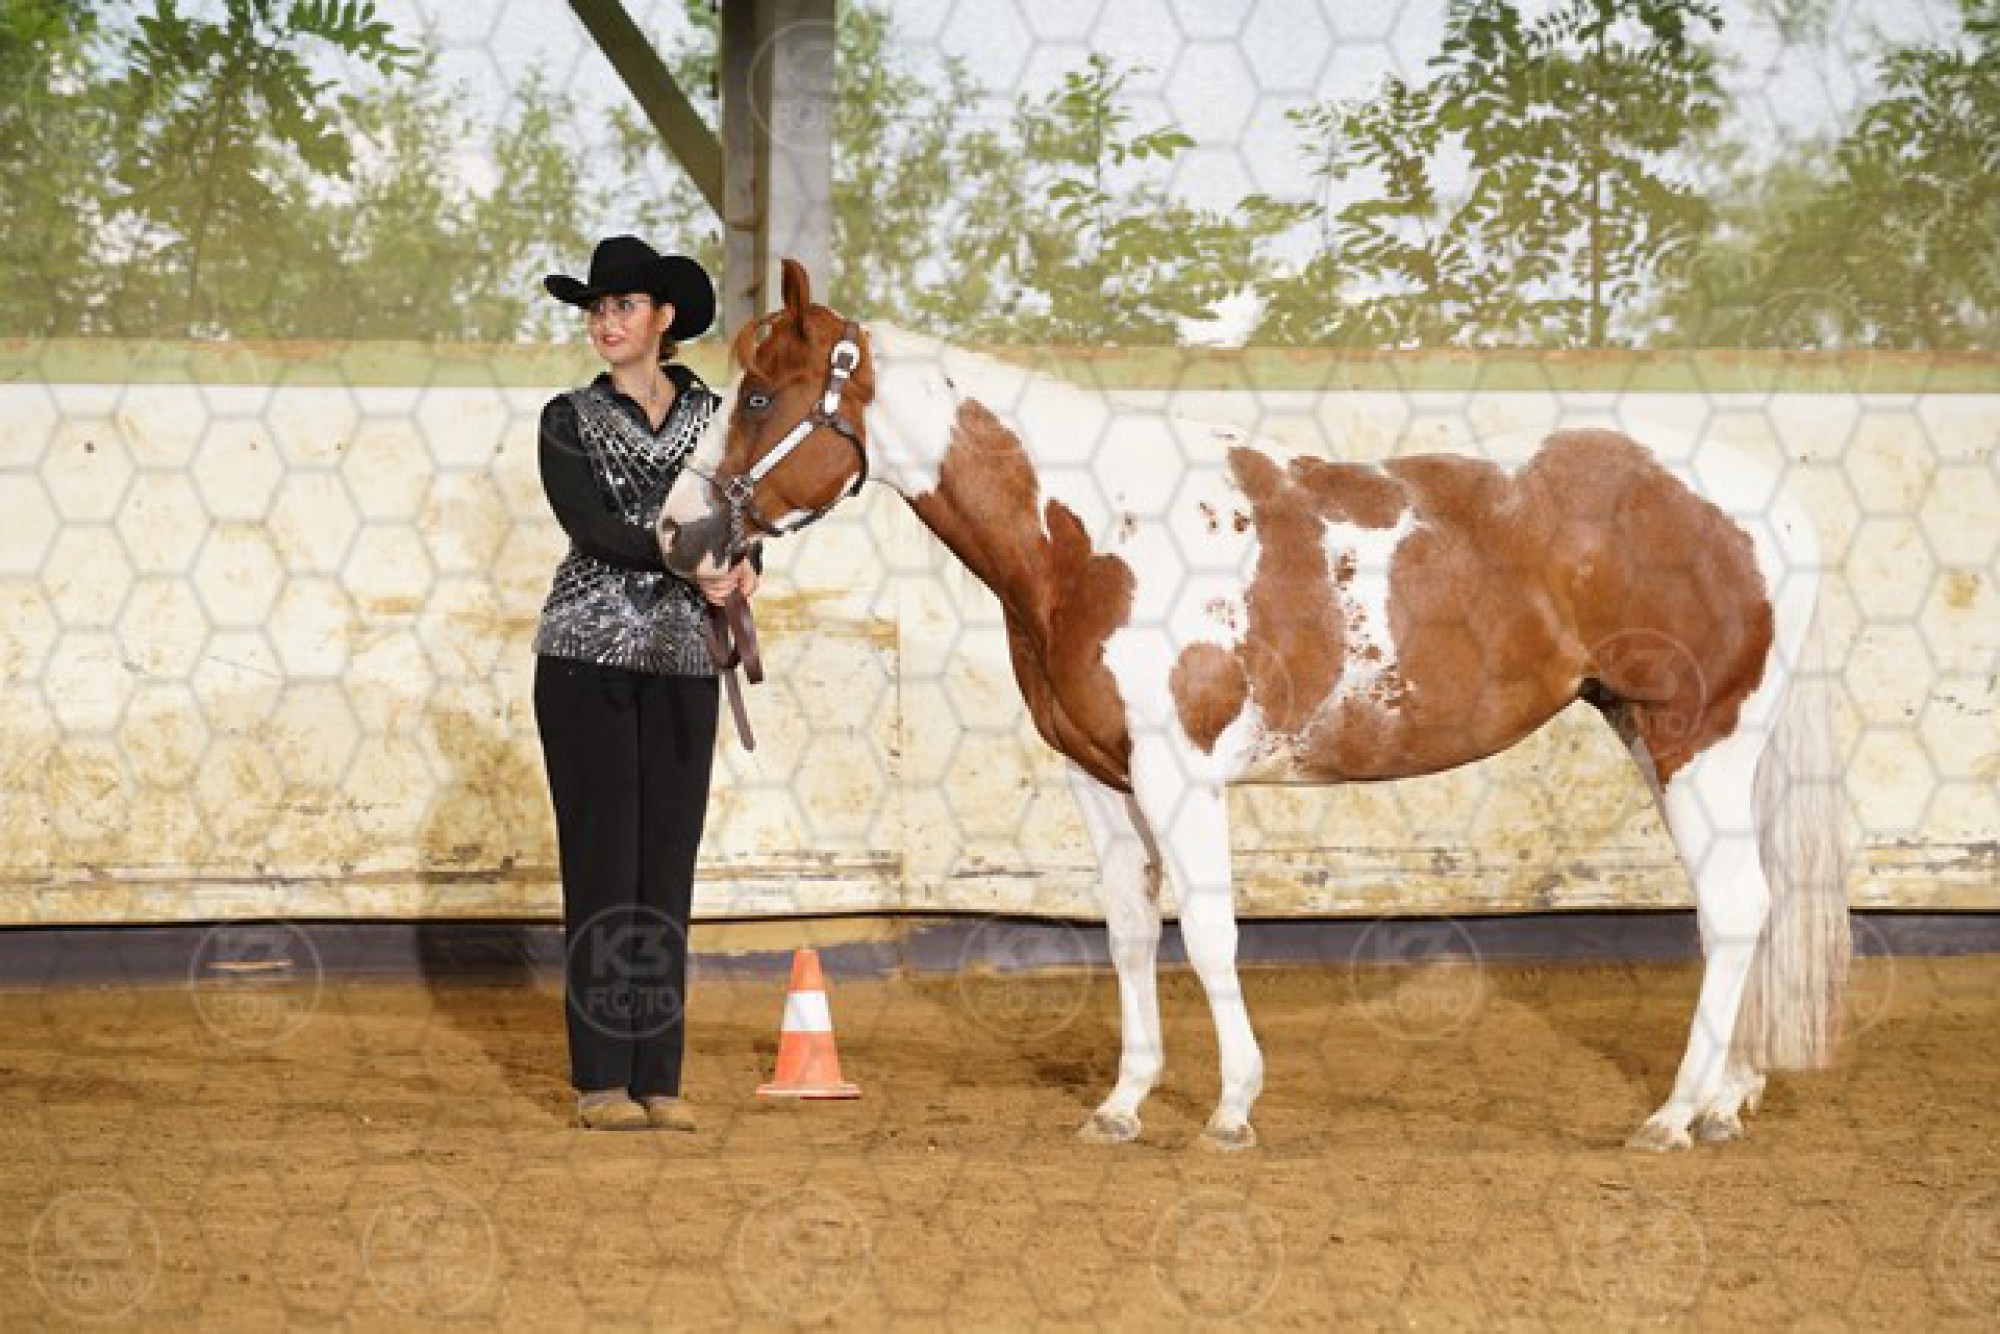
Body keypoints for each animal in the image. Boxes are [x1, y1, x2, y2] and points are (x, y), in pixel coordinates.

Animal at [658, 260, 1850, 1153]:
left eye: (757, 397)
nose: (676, 532)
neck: (1096, 533)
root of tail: (1773, 503)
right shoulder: (1100, 778)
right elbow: (1130, 932)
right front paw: (1122, 1103)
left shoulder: (1179, 775)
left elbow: (1210, 931)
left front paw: (1230, 1107)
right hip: (1657, 737)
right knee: (1744, 905)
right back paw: (1725, 1100)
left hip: (1697, 741)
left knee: (1733, 906)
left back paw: (1671, 1115)